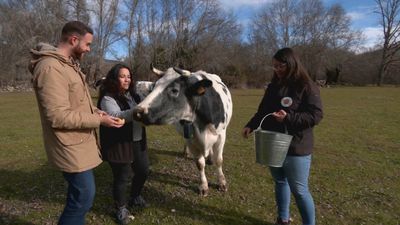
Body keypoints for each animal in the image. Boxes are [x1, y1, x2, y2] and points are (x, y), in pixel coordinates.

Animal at [134, 66, 233, 196]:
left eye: (174, 90)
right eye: (154, 87)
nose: (137, 112)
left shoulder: (221, 135)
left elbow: (219, 160)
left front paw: (222, 182)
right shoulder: (191, 139)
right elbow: (200, 164)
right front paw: (203, 186)